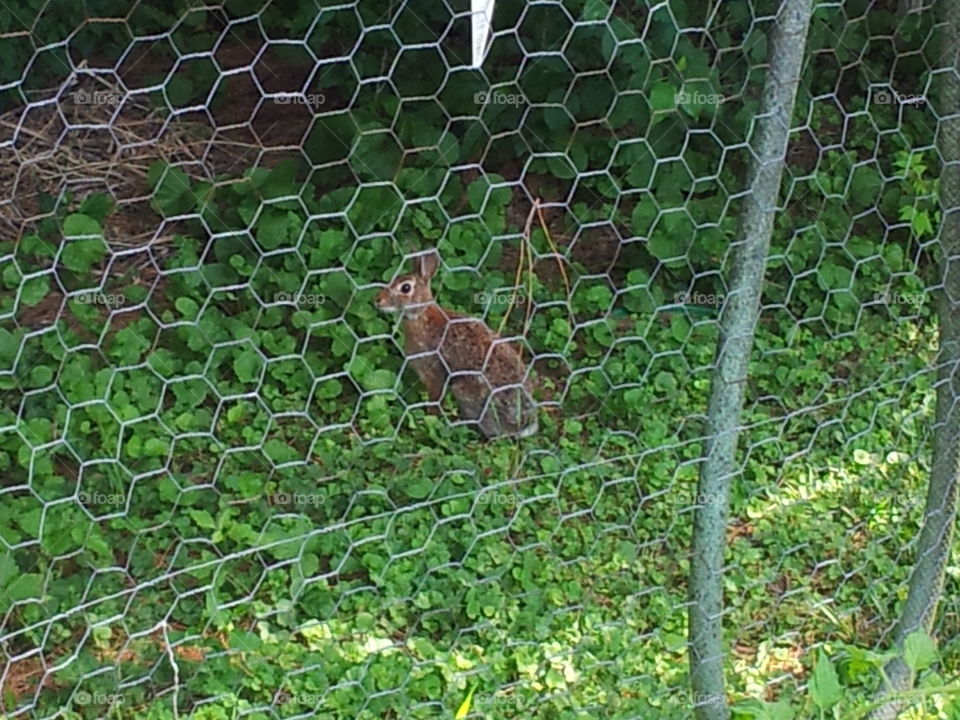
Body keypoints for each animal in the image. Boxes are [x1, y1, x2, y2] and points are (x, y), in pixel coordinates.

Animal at [375, 249, 538, 439]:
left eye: (406, 288)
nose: (378, 300)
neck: (421, 315)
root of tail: (523, 424)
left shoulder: (433, 373)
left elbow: (435, 397)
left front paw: (429, 418)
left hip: (466, 394)